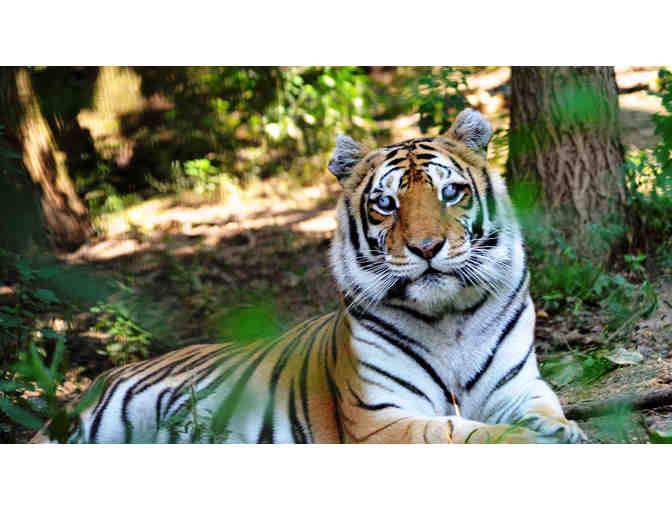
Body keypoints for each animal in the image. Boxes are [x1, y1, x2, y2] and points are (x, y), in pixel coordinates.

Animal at [33, 108, 586, 444]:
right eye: (386, 204)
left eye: (451, 193)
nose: (426, 248)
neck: (448, 318)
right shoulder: (380, 418)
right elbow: (460, 430)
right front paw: (529, 440)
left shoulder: (520, 387)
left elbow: (546, 410)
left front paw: (561, 431)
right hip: (90, 425)